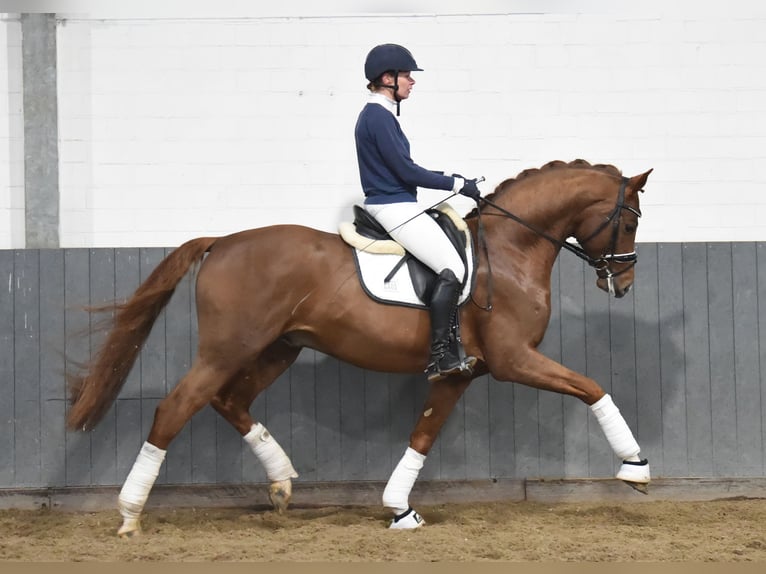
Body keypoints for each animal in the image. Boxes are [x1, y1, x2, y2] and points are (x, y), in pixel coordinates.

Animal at [66, 159, 653, 536]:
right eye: (628, 220)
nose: (623, 284)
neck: (510, 252)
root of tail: (222, 242)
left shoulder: (460, 373)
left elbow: (422, 435)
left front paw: (399, 510)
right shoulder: (514, 361)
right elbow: (591, 387)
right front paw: (635, 467)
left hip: (278, 348)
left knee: (229, 401)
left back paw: (281, 485)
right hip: (227, 349)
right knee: (176, 407)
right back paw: (130, 515)